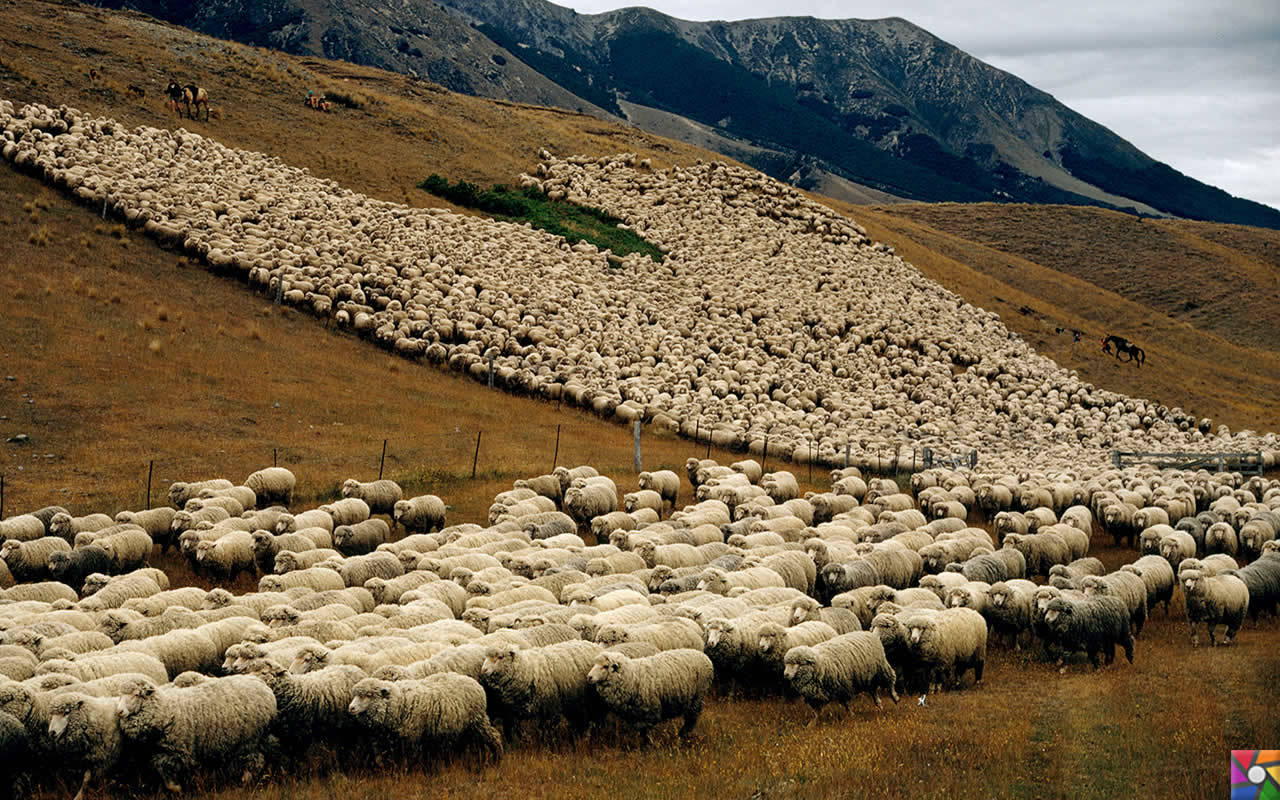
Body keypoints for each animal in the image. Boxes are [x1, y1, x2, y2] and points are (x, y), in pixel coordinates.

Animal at [115, 675, 277, 793]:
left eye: (136, 694)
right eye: (120, 695)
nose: (119, 711)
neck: (165, 708)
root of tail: (263, 685)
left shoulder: (178, 750)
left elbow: (167, 770)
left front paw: (177, 788)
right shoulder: (162, 751)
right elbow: (161, 768)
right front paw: (174, 787)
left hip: (250, 740)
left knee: (255, 760)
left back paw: (245, 781)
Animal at [586, 645, 716, 737]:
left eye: (605, 666)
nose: (589, 677)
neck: (632, 676)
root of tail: (703, 655)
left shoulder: (648, 712)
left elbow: (645, 734)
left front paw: (646, 748)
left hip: (698, 696)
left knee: (691, 718)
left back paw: (682, 736)